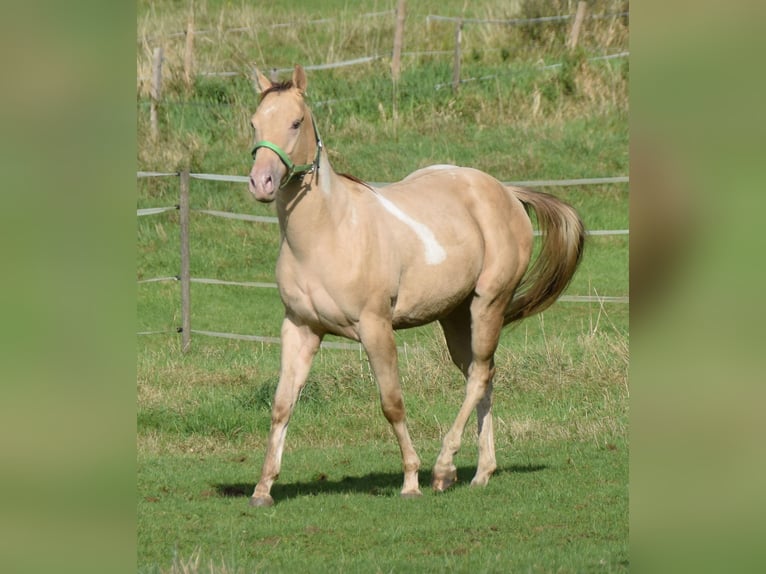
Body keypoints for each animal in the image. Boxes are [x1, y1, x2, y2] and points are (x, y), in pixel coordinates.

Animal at [249, 64, 584, 508]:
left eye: (296, 122)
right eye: (254, 123)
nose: (262, 182)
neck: (329, 233)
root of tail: (506, 193)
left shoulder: (376, 328)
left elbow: (392, 403)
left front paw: (410, 480)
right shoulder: (300, 328)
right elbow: (282, 405)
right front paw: (263, 489)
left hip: (488, 304)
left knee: (478, 375)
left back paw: (443, 469)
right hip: (455, 316)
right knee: (483, 375)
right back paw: (481, 472)